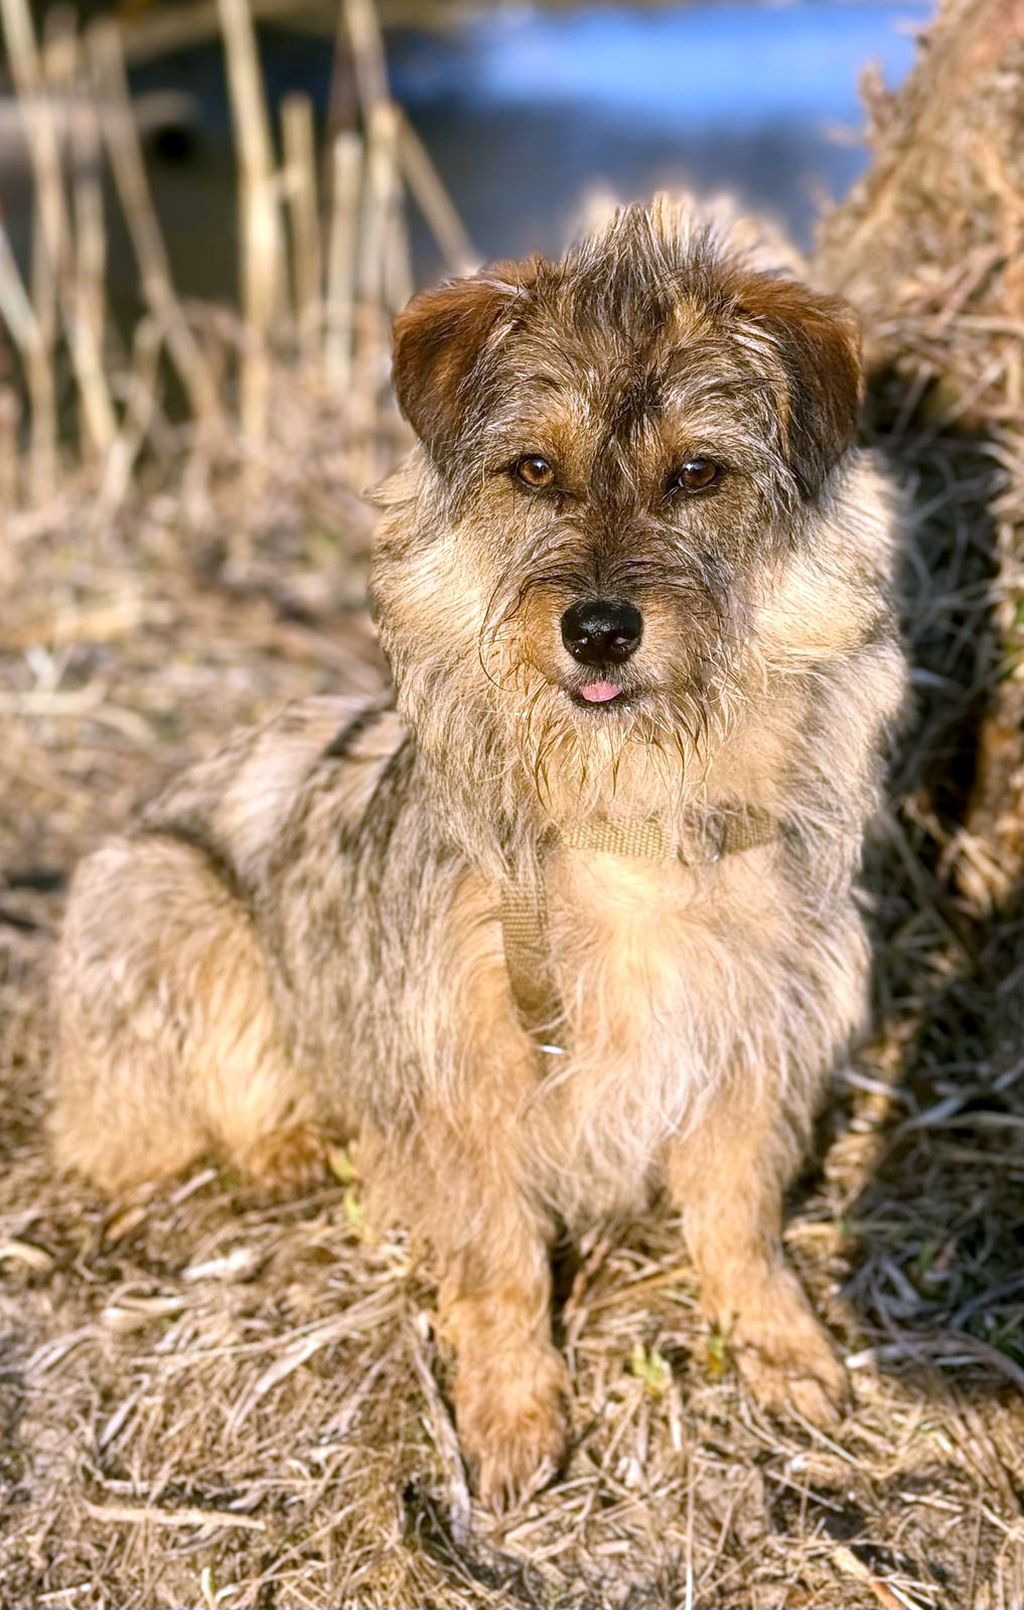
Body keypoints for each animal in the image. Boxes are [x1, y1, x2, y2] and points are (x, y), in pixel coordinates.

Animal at [51, 199, 907, 1507]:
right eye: (534, 470)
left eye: (696, 473)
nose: (599, 626)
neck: (625, 805)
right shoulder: (462, 1074)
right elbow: (499, 1263)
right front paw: (509, 1412)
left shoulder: (761, 1033)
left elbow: (741, 1222)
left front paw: (781, 1344)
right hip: (165, 896)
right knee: (144, 1125)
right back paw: (289, 1143)